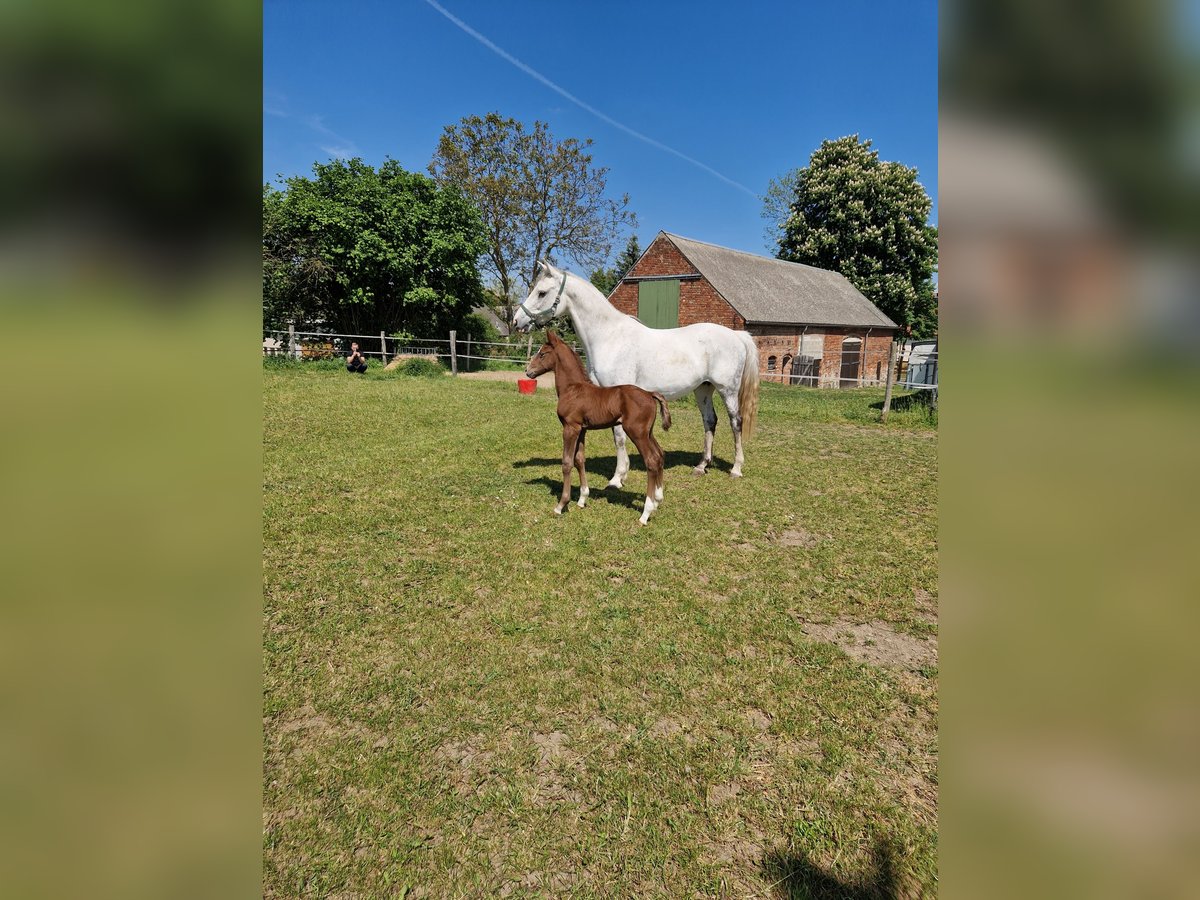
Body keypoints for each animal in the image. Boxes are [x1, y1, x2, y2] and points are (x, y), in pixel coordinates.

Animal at [513, 260, 758, 487]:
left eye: (542, 292)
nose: (517, 321)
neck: (609, 337)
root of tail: (736, 335)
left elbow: (619, 437)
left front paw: (617, 478)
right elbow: (617, 437)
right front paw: (621, 474)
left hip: (728, 389)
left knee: (735, 422)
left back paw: (736, 469)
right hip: (703, 389)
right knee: (710, 421)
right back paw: (701, 466)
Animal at [528, 331, 676, 528]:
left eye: (543, 354)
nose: (528, 371)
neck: (572, 389)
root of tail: (650, 393)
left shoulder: (570, 428)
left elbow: (567, 462)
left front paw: (561, 505)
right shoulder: (581, 429)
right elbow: (579, 460)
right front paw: (582, 499)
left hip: (636, 432)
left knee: (651, 460)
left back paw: (645, 514)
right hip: (647, 432)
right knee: (660, 455)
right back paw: (658, 500)